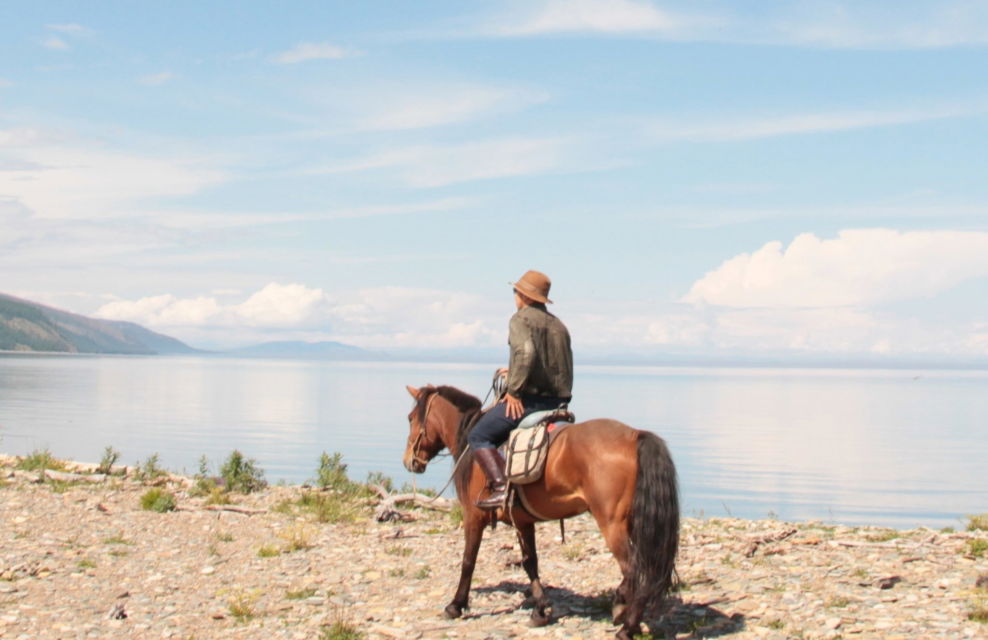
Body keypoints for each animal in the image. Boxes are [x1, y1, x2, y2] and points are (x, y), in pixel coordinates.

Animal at [402, 383, 679, 640]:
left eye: (410, 417)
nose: (409, 462)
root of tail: (635, 436)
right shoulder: (523, 521)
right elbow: (530, 562)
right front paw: (541, 609)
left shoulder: (474, 516)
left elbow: (468, 561)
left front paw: (456, 605)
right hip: (635, 523)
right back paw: (624, 609)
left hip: (612, 525)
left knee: (635, 572)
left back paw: (627, 625)